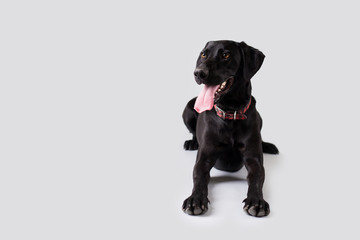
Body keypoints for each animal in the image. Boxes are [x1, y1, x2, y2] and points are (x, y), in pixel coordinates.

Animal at [183, 40, 278, 217]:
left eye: (226, 55)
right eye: (203, 54)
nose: (199, 73)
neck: (230, 113)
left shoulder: (254, 159)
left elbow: (256, 178)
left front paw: (256, 201)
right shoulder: (204, 157)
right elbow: (199, 176)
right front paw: (195, 199)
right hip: (187, 109)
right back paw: (192, 143)